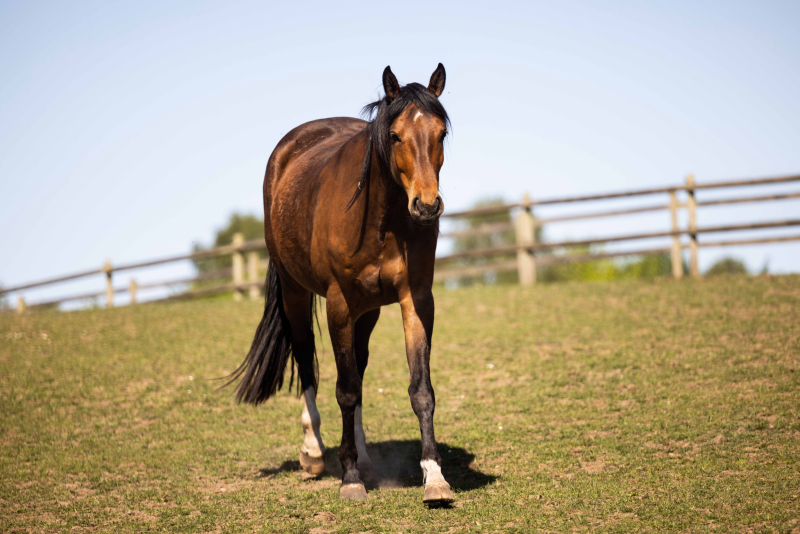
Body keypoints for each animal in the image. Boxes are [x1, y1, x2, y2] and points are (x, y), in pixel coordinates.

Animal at [228, 65, 454, 504]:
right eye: (395, 135)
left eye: (441, 134)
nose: (426, 205)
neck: (382, 222)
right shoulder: (339, 304)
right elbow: (344, 389)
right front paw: (349, 478)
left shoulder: (416, 300)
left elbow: (420, 390)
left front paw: (434, 477)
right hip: (297, 294)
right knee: (307, 363)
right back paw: (314, 451)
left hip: (368, 311)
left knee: (359, 368)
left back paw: (363, 456)